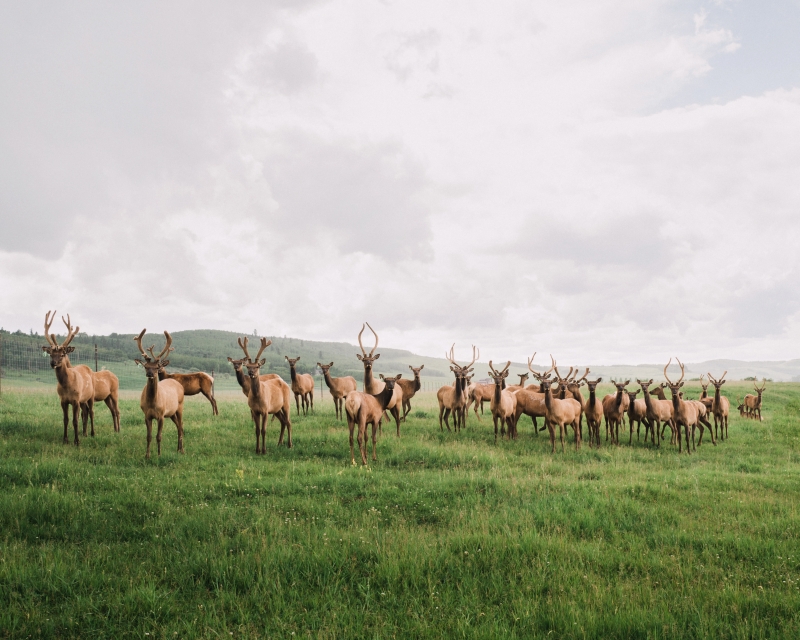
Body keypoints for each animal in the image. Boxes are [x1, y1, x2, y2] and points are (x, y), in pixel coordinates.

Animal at [41, 312, 94, 444]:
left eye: (62, 354)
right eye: (51, 354)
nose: (53, 363)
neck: (67, 385)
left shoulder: (75, 399)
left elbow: (75, 421)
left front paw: (76, 441)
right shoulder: (63, 400)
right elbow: (65, 419)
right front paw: (65, 440)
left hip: (91, 395)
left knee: (91, 412)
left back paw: (92, 433)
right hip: (83, 399)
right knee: (85, 412)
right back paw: (84, 433)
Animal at [134, 330, 186, 460]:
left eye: (157, 367)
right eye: (146, 367)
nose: (149, 374)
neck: (152, 402)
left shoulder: (161, 415)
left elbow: (159, 436)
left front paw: (158, 454)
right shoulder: (147, 415)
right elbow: (149, 436)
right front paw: (147, 455)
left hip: (180, 406)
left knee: (181, 426)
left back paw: (182, 450)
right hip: (171, 413)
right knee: (178, 426)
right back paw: (178, 449)